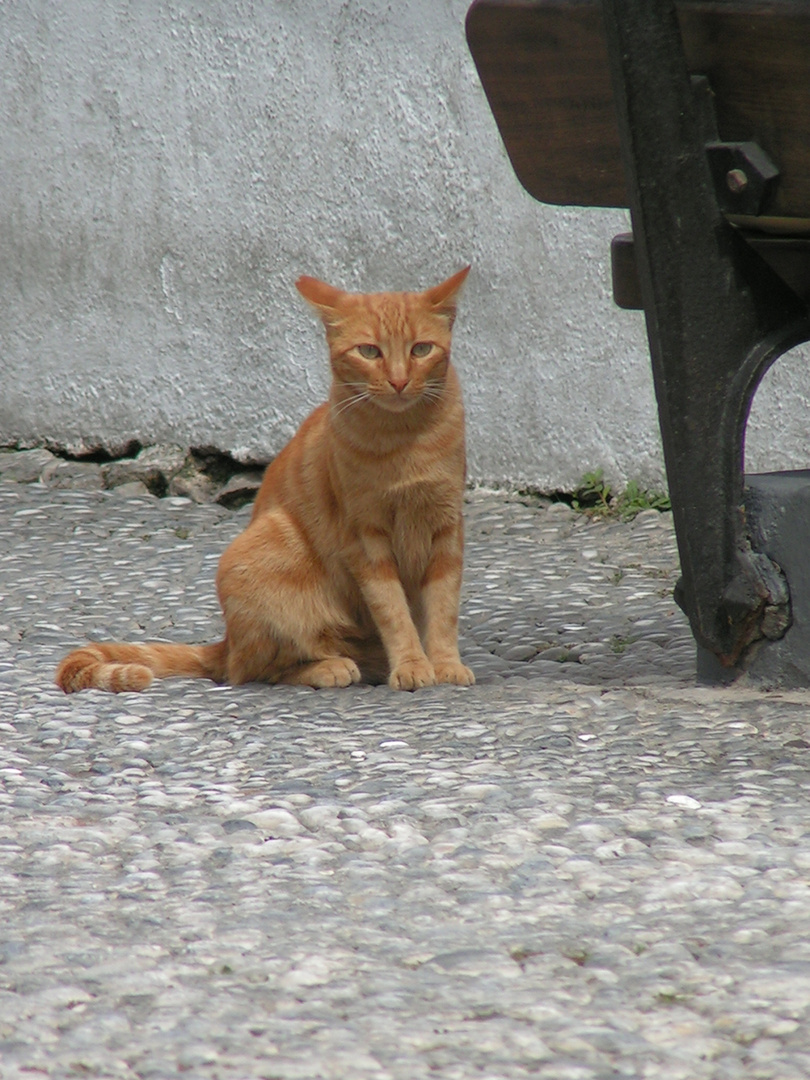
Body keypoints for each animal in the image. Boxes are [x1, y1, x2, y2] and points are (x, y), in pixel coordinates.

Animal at [55, 265, 475, 695]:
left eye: (420, 350)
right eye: (370, 352)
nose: (399, 381)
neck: (404, 440)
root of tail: (228, 640)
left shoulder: (447, 527)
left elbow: (443, 608)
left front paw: (445, 663)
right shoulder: (366, 537)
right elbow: (392, 610)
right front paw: (411, 663)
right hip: (267, 547)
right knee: (254, 669)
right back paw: (329, 668)